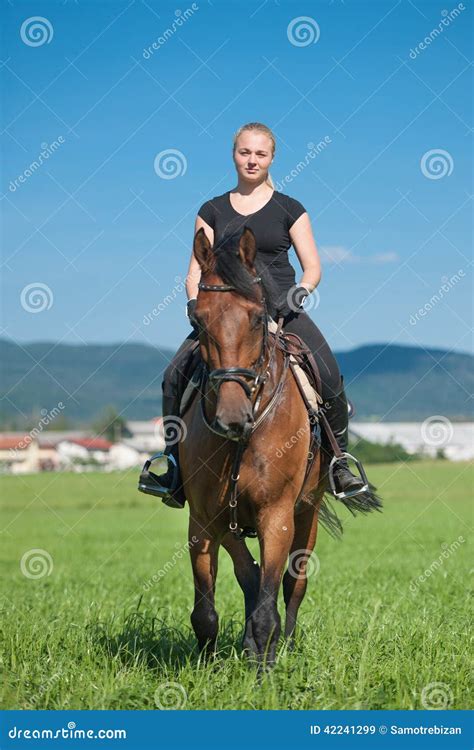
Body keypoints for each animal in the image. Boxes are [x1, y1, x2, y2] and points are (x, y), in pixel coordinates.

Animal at [180, 226, 380, 668]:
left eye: (258, 318)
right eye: (198, 319)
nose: (232, 418)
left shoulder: (277, 516)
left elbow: (269, 607)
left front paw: (266, 668)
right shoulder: (204, 519)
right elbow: (208, 609)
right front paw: (206, 667)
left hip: (307, 513)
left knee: (293, 583)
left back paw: (283, 644)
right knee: (249, 575)